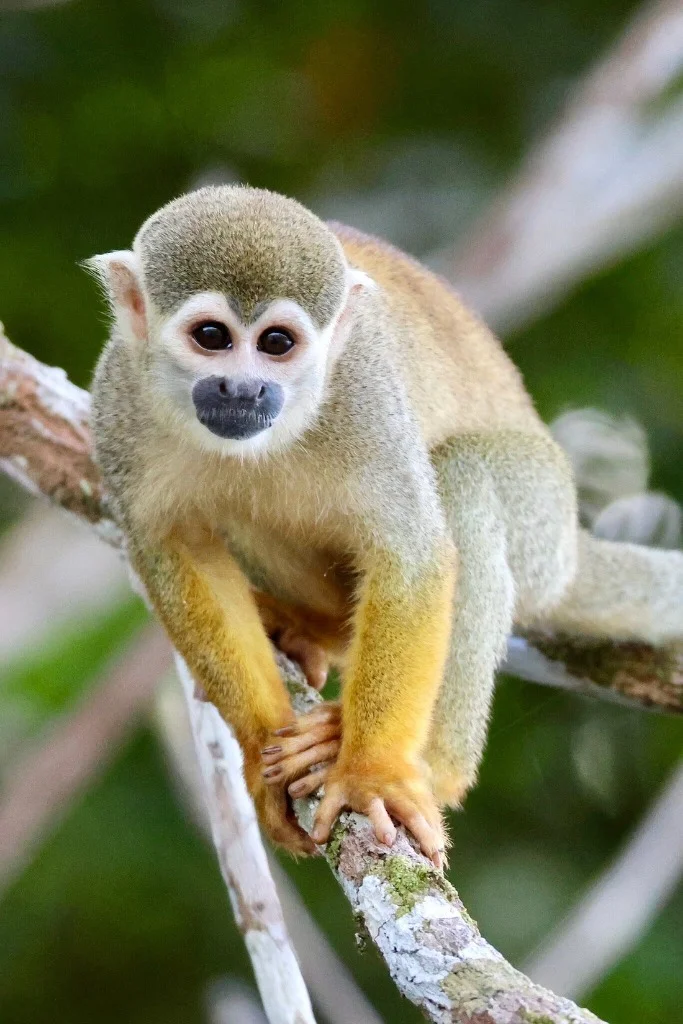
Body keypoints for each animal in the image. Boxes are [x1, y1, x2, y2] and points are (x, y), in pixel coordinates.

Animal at [88, 185, 683, 865]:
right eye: (211, 336)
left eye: (276, 343)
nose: (244, 389)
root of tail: (573, 551)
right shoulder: (118, 399)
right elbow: (176, 548)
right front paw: (261, 749)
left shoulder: (363, 389)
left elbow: (412, 555)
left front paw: (372, 774)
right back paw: (318, 628)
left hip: (543, 520)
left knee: (463, 480)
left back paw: (431, 763)